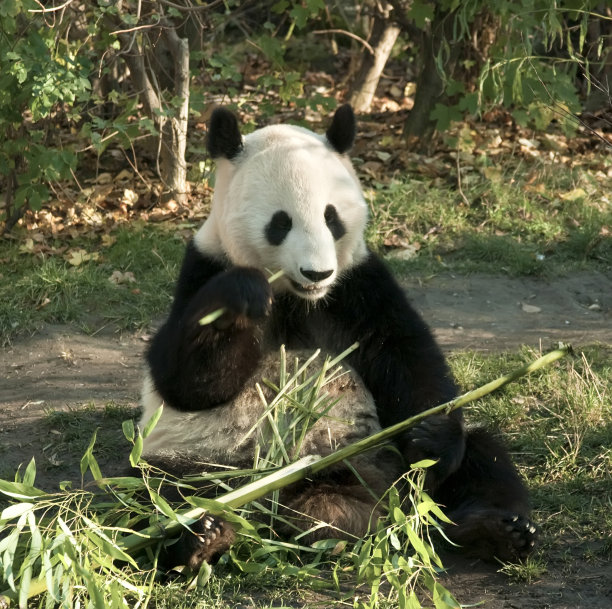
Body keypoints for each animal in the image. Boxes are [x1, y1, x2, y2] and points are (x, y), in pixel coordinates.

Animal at [140, 103, 536, 564]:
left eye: (332, 218)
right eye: (280, 223)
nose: (317, 273)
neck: (297, 298)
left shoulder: (357, 287)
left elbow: (407, 359)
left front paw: (431, 440)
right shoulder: (205, 266)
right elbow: (187, 383)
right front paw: (239, 299)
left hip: (381, 457)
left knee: (480, 456)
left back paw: (495, 530)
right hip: (203, 462)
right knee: (161, 492)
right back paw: (203, 535)